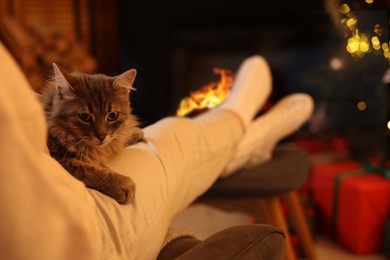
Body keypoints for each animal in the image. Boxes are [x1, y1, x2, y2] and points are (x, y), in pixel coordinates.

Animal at [39, 63, 144, 203]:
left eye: (112, 116)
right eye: (85, 117)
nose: (102, 136)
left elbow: (115, 141)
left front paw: (134, 133)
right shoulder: (61, 160)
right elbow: (90, 171)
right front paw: (121, 184)